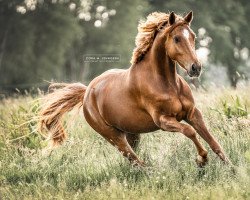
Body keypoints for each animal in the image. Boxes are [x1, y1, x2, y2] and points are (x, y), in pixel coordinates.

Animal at [39, 11, 229, 167]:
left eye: (193, 36)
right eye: (176, 38)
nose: (196, 68)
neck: (167, 84)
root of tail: (87, 92)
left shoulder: (192, 114)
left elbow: (212, 140)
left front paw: (229, 166)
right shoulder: (163, 121)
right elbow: (190, 131)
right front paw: (202, 159)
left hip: (132, 133)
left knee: (134, 159)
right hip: (114, 137)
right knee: (134, 160)